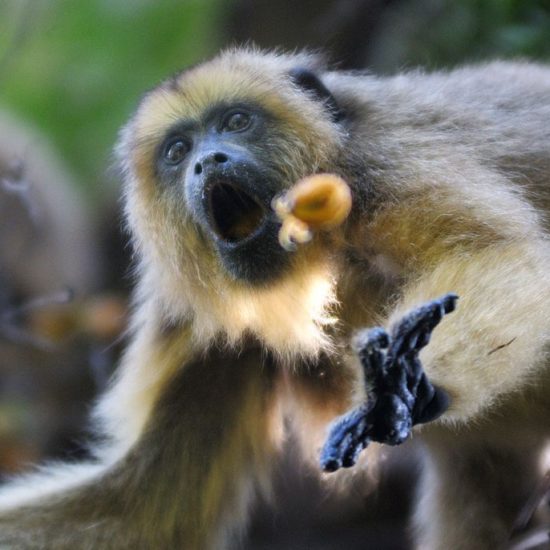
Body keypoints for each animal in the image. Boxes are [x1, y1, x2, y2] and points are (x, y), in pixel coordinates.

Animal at [1, 48, 550, 550]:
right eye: (177, 150)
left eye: (237, 122)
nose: (207, 160)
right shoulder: (185, 312)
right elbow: (142, 507)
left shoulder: (379, 164)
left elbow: (494, 254)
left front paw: (405, 384)